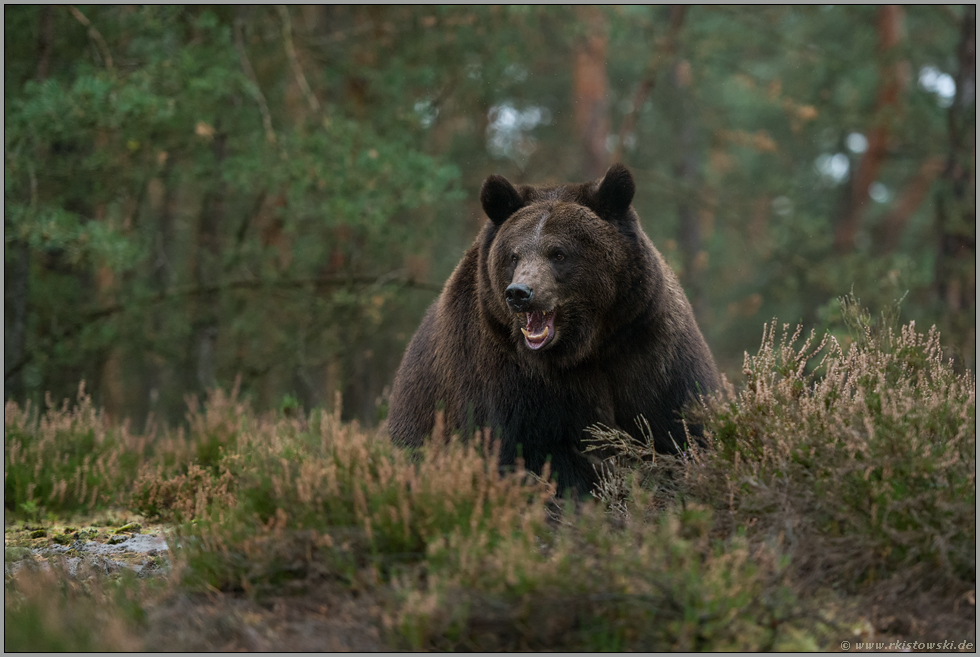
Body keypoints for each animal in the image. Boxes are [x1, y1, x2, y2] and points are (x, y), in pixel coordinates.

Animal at [384, 163, 720, 492]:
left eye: (558, 253)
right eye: (514, 255)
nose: (519, 293)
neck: (585, 348)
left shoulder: (647, 349)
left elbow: (680, 426)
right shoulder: (510, 379)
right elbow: (537, 458)